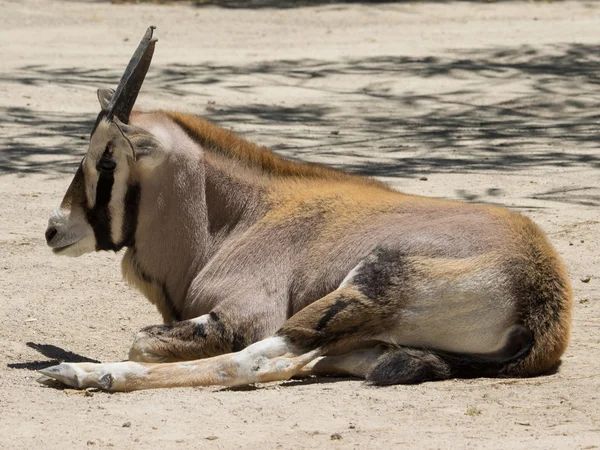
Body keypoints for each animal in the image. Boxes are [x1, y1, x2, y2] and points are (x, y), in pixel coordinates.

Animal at [38, 28, 572, 392]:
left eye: (107, 159)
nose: (54, 229)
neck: (242, 214)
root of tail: (542, 294)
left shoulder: (245, 315)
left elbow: (146, 339)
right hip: (370, 337)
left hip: (338, 304)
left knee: (255, 363)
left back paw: (85, 374)